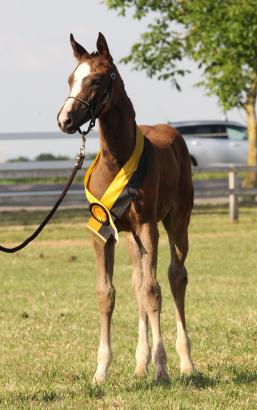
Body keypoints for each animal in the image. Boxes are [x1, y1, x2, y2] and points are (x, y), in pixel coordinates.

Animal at [58, 33, 193, 382]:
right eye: (71, 79)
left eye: (95, 79)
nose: (64, 120)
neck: (117, 160)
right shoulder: (101, 231)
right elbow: (107, 293)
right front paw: (101, 371)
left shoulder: (147, 226)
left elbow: (154, 291)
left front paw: (162, 367)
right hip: (130, 236)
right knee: (137, 282)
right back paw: (140, 362)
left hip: (176, 222)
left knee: (175, 278)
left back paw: (185, 361)